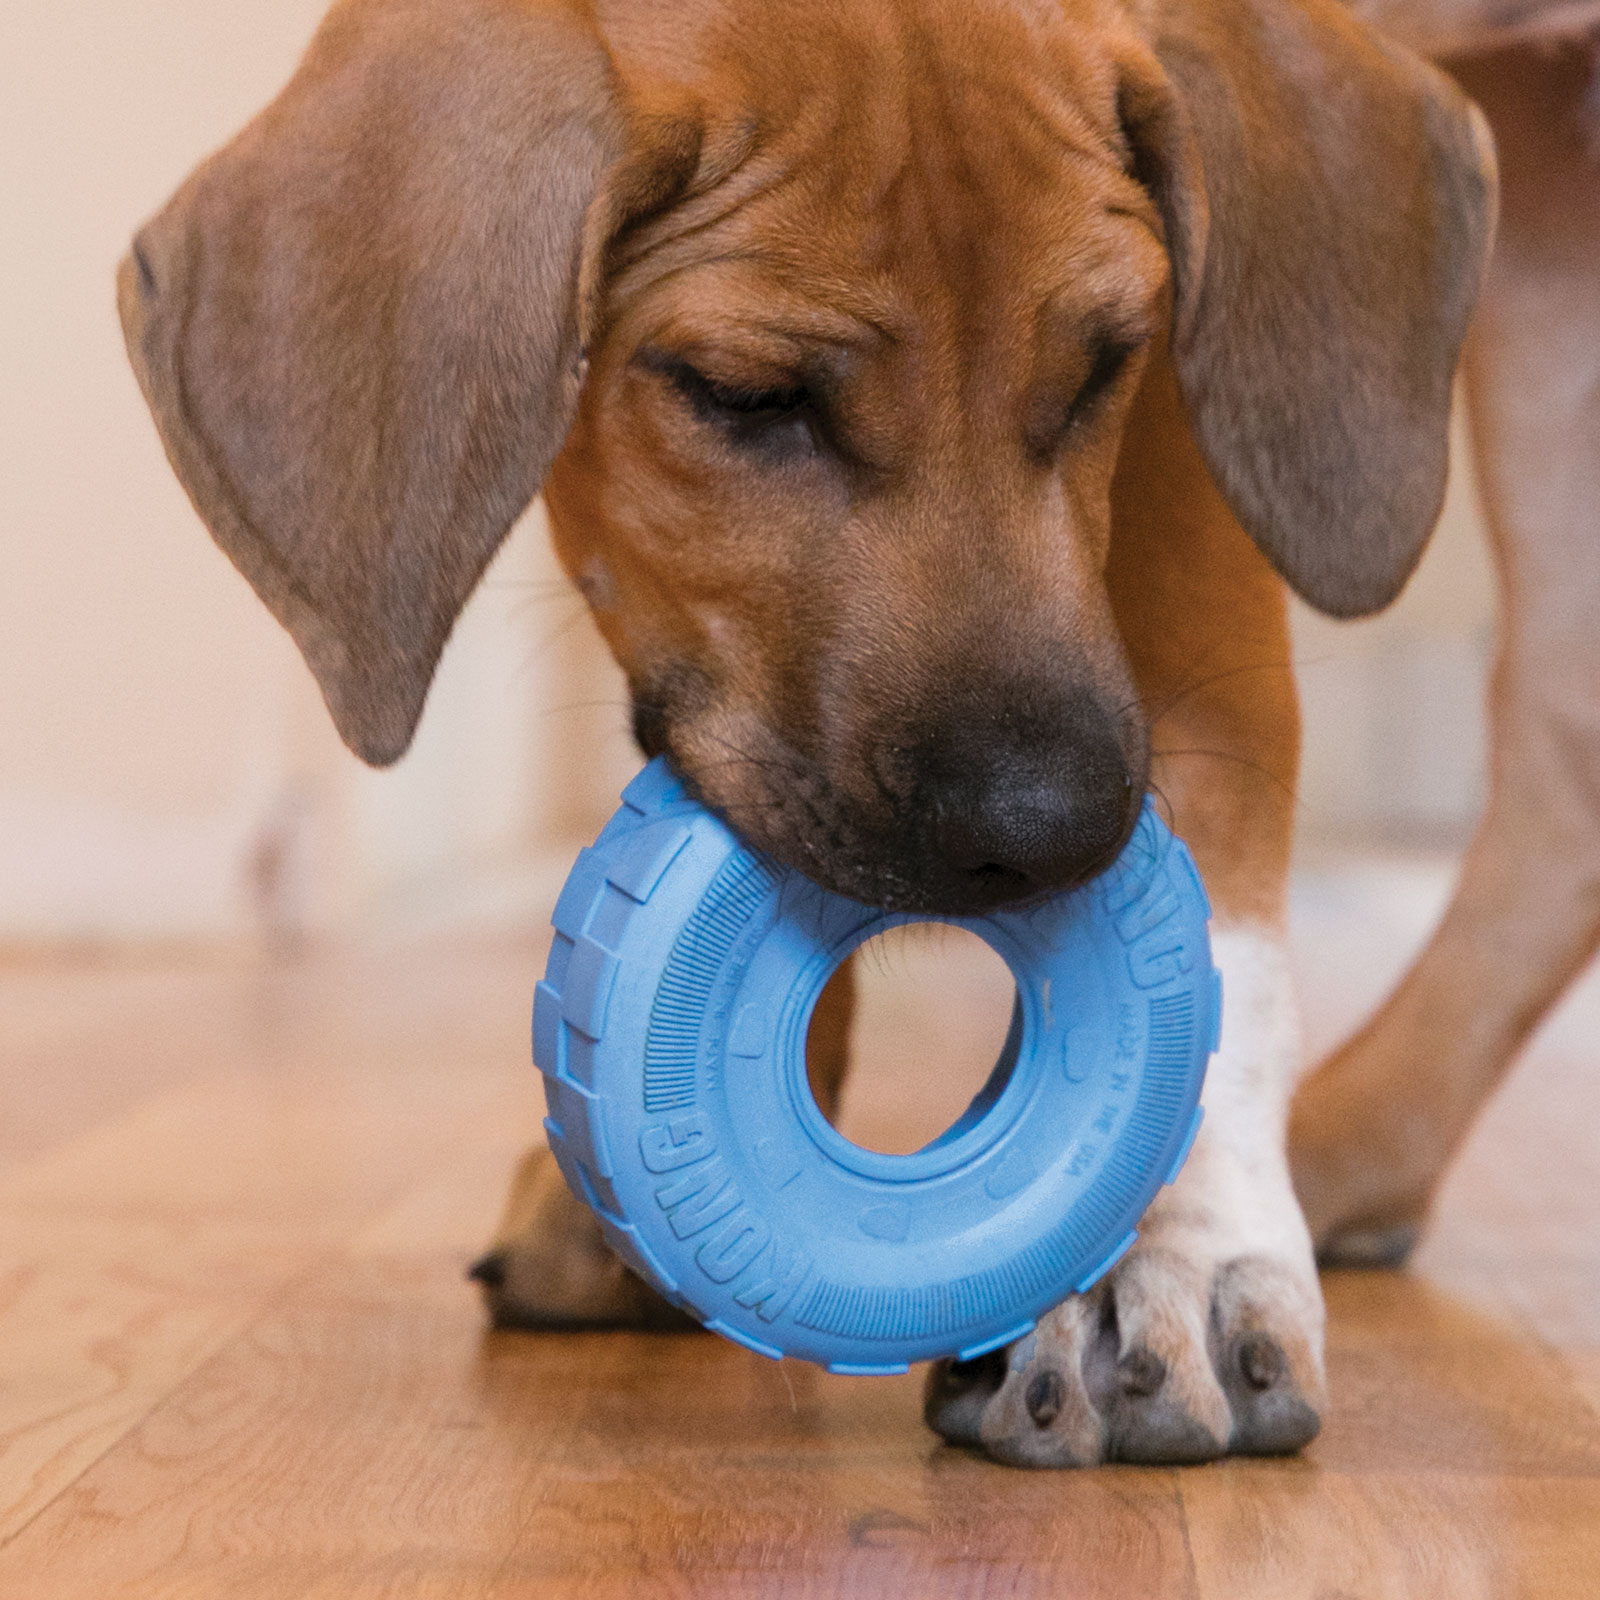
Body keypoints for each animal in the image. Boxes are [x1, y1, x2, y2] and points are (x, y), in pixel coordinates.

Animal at [121, 0, 1497, 1465]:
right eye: (743, 395)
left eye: (1104, 368)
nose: (1049, 832)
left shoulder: (1185, 422)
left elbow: (1220, 801)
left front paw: (1171, 1244)